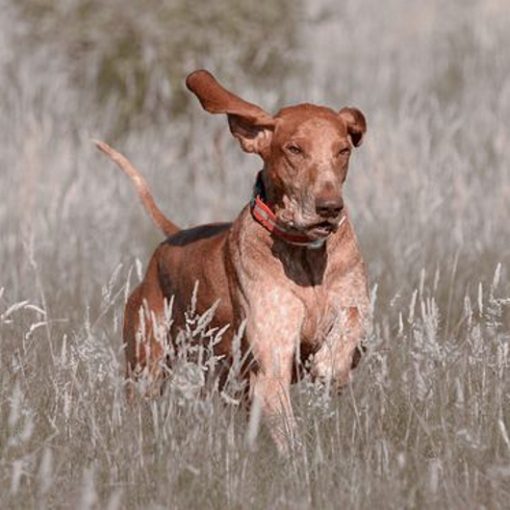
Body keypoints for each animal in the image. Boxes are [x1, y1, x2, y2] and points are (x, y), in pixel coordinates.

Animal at [95, 68, 368, 454]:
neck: (305, 255)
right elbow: (289, 437)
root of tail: (170, 239)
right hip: (147, 368)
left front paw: (331, 363)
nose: (329, 208)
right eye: (294, 149)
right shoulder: (271, 365)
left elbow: (353, 316)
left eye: (342, 150)